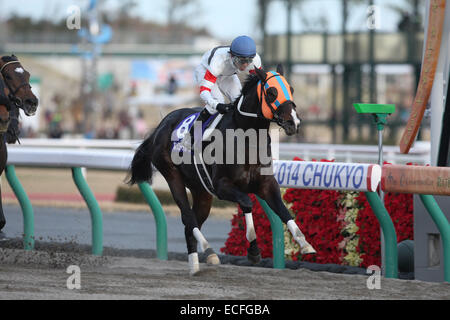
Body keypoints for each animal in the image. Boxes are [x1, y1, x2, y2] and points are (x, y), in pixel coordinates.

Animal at [128, 65, 314, 276]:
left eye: (291, 89)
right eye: (271, 92)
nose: (294, 123)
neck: (246, 138)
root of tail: (162, 124)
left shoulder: (266, 184)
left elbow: (282, 209)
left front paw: (305, 243)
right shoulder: (222, 186)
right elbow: (247, 203)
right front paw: (254, 251)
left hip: (201, 191)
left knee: (192, 222)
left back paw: (197, 263)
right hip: (172, 175)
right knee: (188, 216)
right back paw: (207, 250)